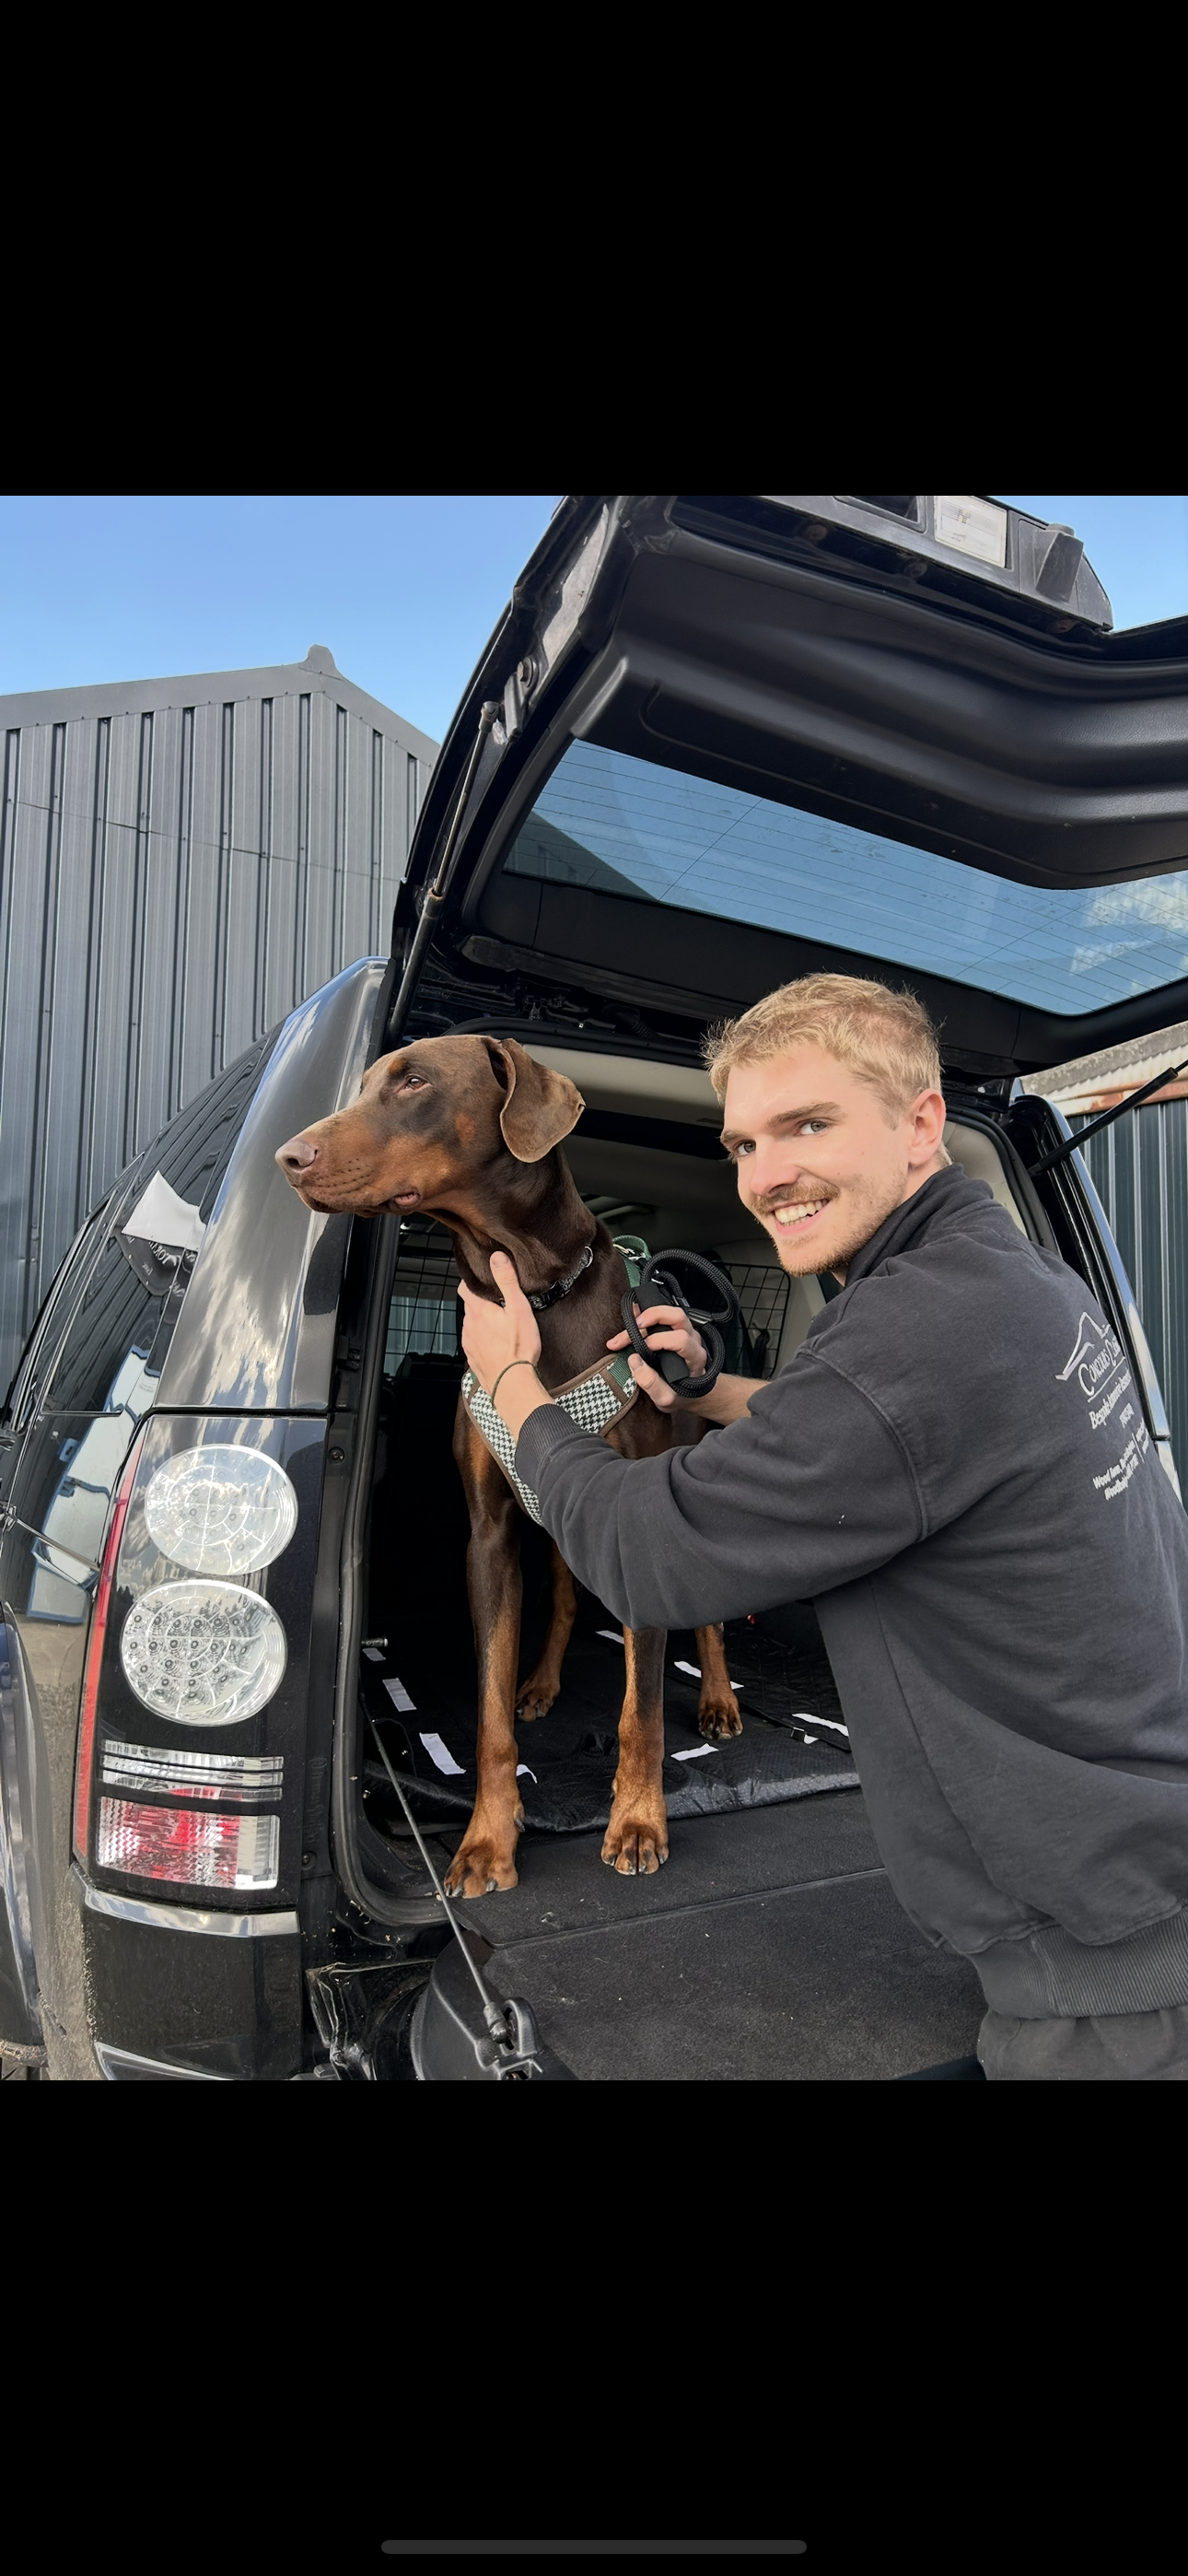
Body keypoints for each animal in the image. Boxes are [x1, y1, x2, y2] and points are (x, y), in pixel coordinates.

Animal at [276, 1032, 741, 1896]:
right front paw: (488, 1840)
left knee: (709, 1618)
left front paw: (638, 1821)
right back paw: (543, 1683)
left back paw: (721, 1698)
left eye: (414, 1081)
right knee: (559, 1602)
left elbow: (642, 1711)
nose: (289, 1157)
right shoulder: (489, 1533)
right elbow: (489, 1708)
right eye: (364, 1083)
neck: (533, 1289)